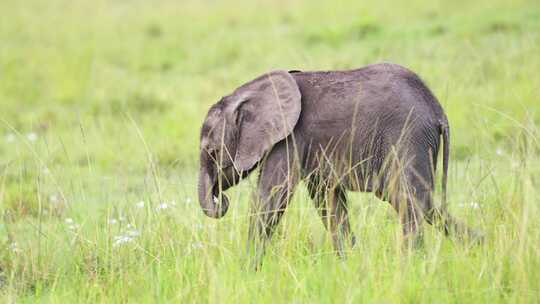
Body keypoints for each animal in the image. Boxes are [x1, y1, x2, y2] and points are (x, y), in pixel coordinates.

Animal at [198, 63, 480, 268]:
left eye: (211, 151)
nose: (221, 198)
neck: (248, 93)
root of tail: (439, 112)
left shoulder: (289, 139)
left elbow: (271, 197)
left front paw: (247, 270)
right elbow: (328, 200)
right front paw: (349, 265)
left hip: (409, 136)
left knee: (410, 201)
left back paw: (411, 264)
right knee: (421, 203)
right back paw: (479, 244)